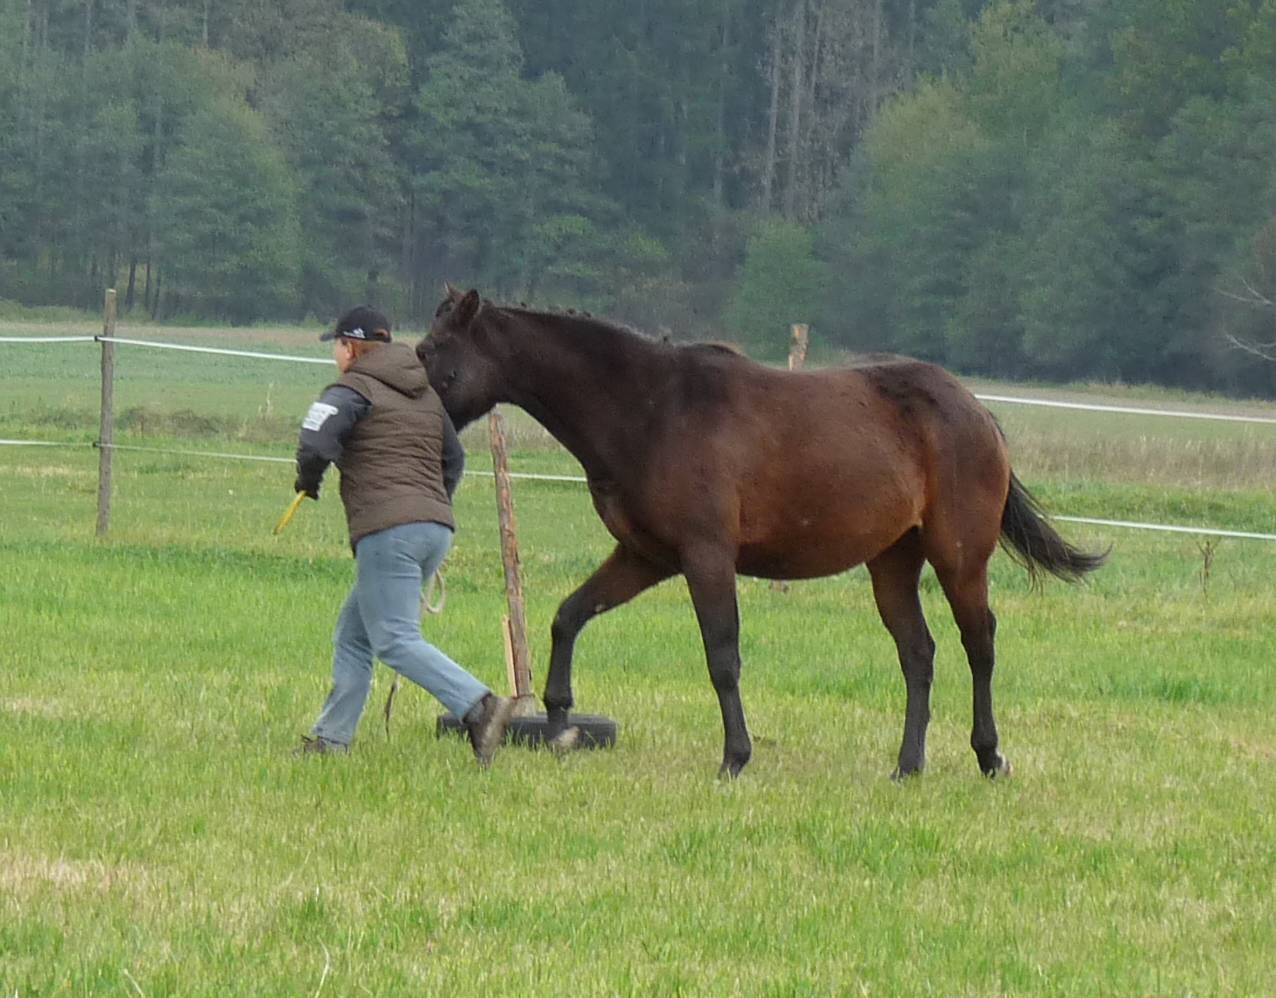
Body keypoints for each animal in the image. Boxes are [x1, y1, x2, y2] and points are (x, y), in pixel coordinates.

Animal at [418, 285, 1107, 775]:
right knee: (919, 653)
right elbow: (569, 616)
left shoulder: (706, 557)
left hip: (958, 557)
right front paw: (559, 715)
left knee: (979, 645)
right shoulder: (645, 556)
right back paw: (907, 765)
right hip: (892, 563)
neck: (650, 408)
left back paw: (989, 755)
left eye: (432, 356)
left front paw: (735, 756)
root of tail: (976, 411)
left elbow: (722, 657)